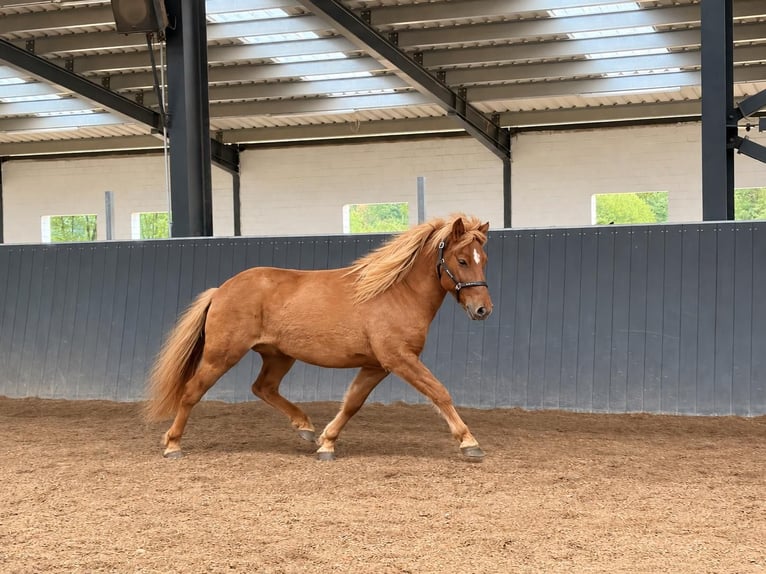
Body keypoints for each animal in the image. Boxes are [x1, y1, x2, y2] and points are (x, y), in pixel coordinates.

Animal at [145, 213, 493, 461]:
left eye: (484, 260)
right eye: (462, 260)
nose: (482, 310)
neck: (394, 293)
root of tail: (221, 290)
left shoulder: (375, 366)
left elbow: (352, 403)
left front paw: (326, 443)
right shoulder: (399, 359)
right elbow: (439, 392)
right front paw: (469, 442)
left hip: (278, 355)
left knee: (263, 388)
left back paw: (305, 428)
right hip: (222, 355)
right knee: (192, 392)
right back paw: (172, 445)